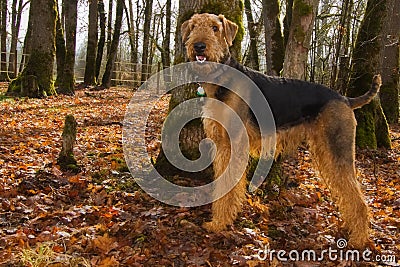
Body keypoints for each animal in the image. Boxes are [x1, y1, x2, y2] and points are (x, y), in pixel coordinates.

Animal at [181, 13, 382, 249]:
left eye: (215, 28)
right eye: (194, 26)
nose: (199, 46)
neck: (221, 79)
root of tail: (346, 99)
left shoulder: (234, 146)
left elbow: (229, 186)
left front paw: (219, 223)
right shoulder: (222, 145)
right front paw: (218, 220)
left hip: (338, 150)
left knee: (359, 199)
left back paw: (359, 240)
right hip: (325, 151)